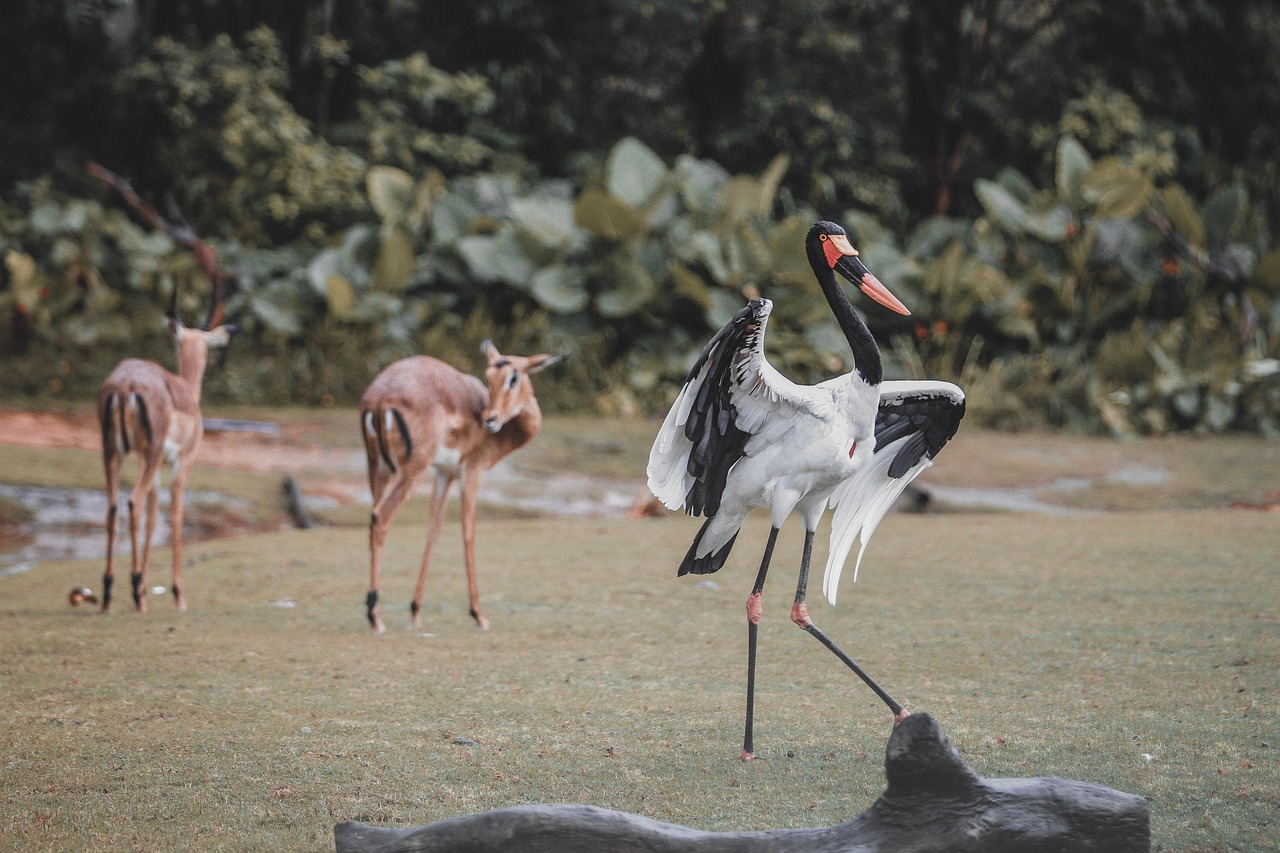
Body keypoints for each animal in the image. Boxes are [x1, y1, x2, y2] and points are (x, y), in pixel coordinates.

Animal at [91, 162, 236, 613]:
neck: (185, 390)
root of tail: (123, 386)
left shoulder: (150, 460)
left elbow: (156, 515)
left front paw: (143, 587)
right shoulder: (181, 460)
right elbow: (174, 513)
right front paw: (177, 593)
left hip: (113, 451)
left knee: (113, 506)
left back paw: (109, 594)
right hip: (149, 454)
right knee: (133, 502)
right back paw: (134, 592)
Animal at [360, 341, 562, 633]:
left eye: (514, 377)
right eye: (489, 376)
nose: (490, 419)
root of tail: (380, 395)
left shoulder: (445, 474)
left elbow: (433, 532)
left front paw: (415, 612)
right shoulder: (471, 472)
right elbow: (469, 533)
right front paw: (479, 615)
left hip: (378, 468)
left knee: (373, 518)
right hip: (411, 471)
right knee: (381, 518)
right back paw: (375, 617)